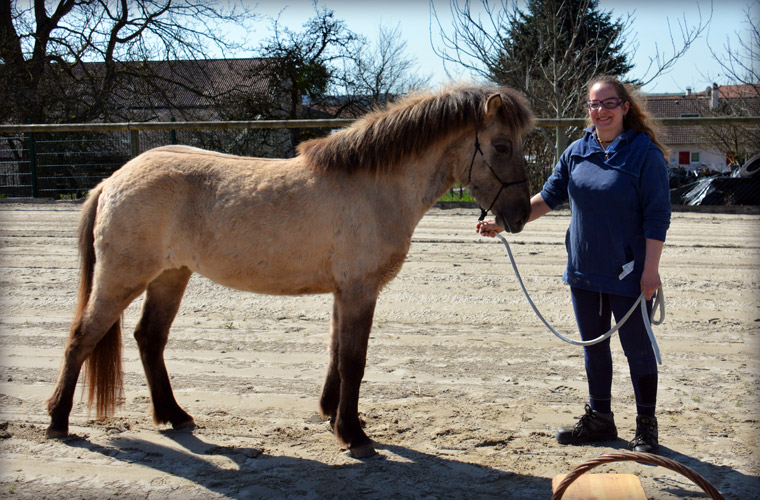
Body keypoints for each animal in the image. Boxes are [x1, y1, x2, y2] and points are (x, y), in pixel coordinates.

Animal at [46, 84, 536, 458]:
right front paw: (354, 435)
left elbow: (337, 355)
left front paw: (332, 415)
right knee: (81, 339)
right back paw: (58, 422)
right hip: (121, 280)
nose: (517, 217)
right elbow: (354, 360)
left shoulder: (344, 292)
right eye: (502, 146)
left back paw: (175, 415)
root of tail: (112, 181)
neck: (373, 185)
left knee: (149, 338)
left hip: (171, 277)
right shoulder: (359, 290)